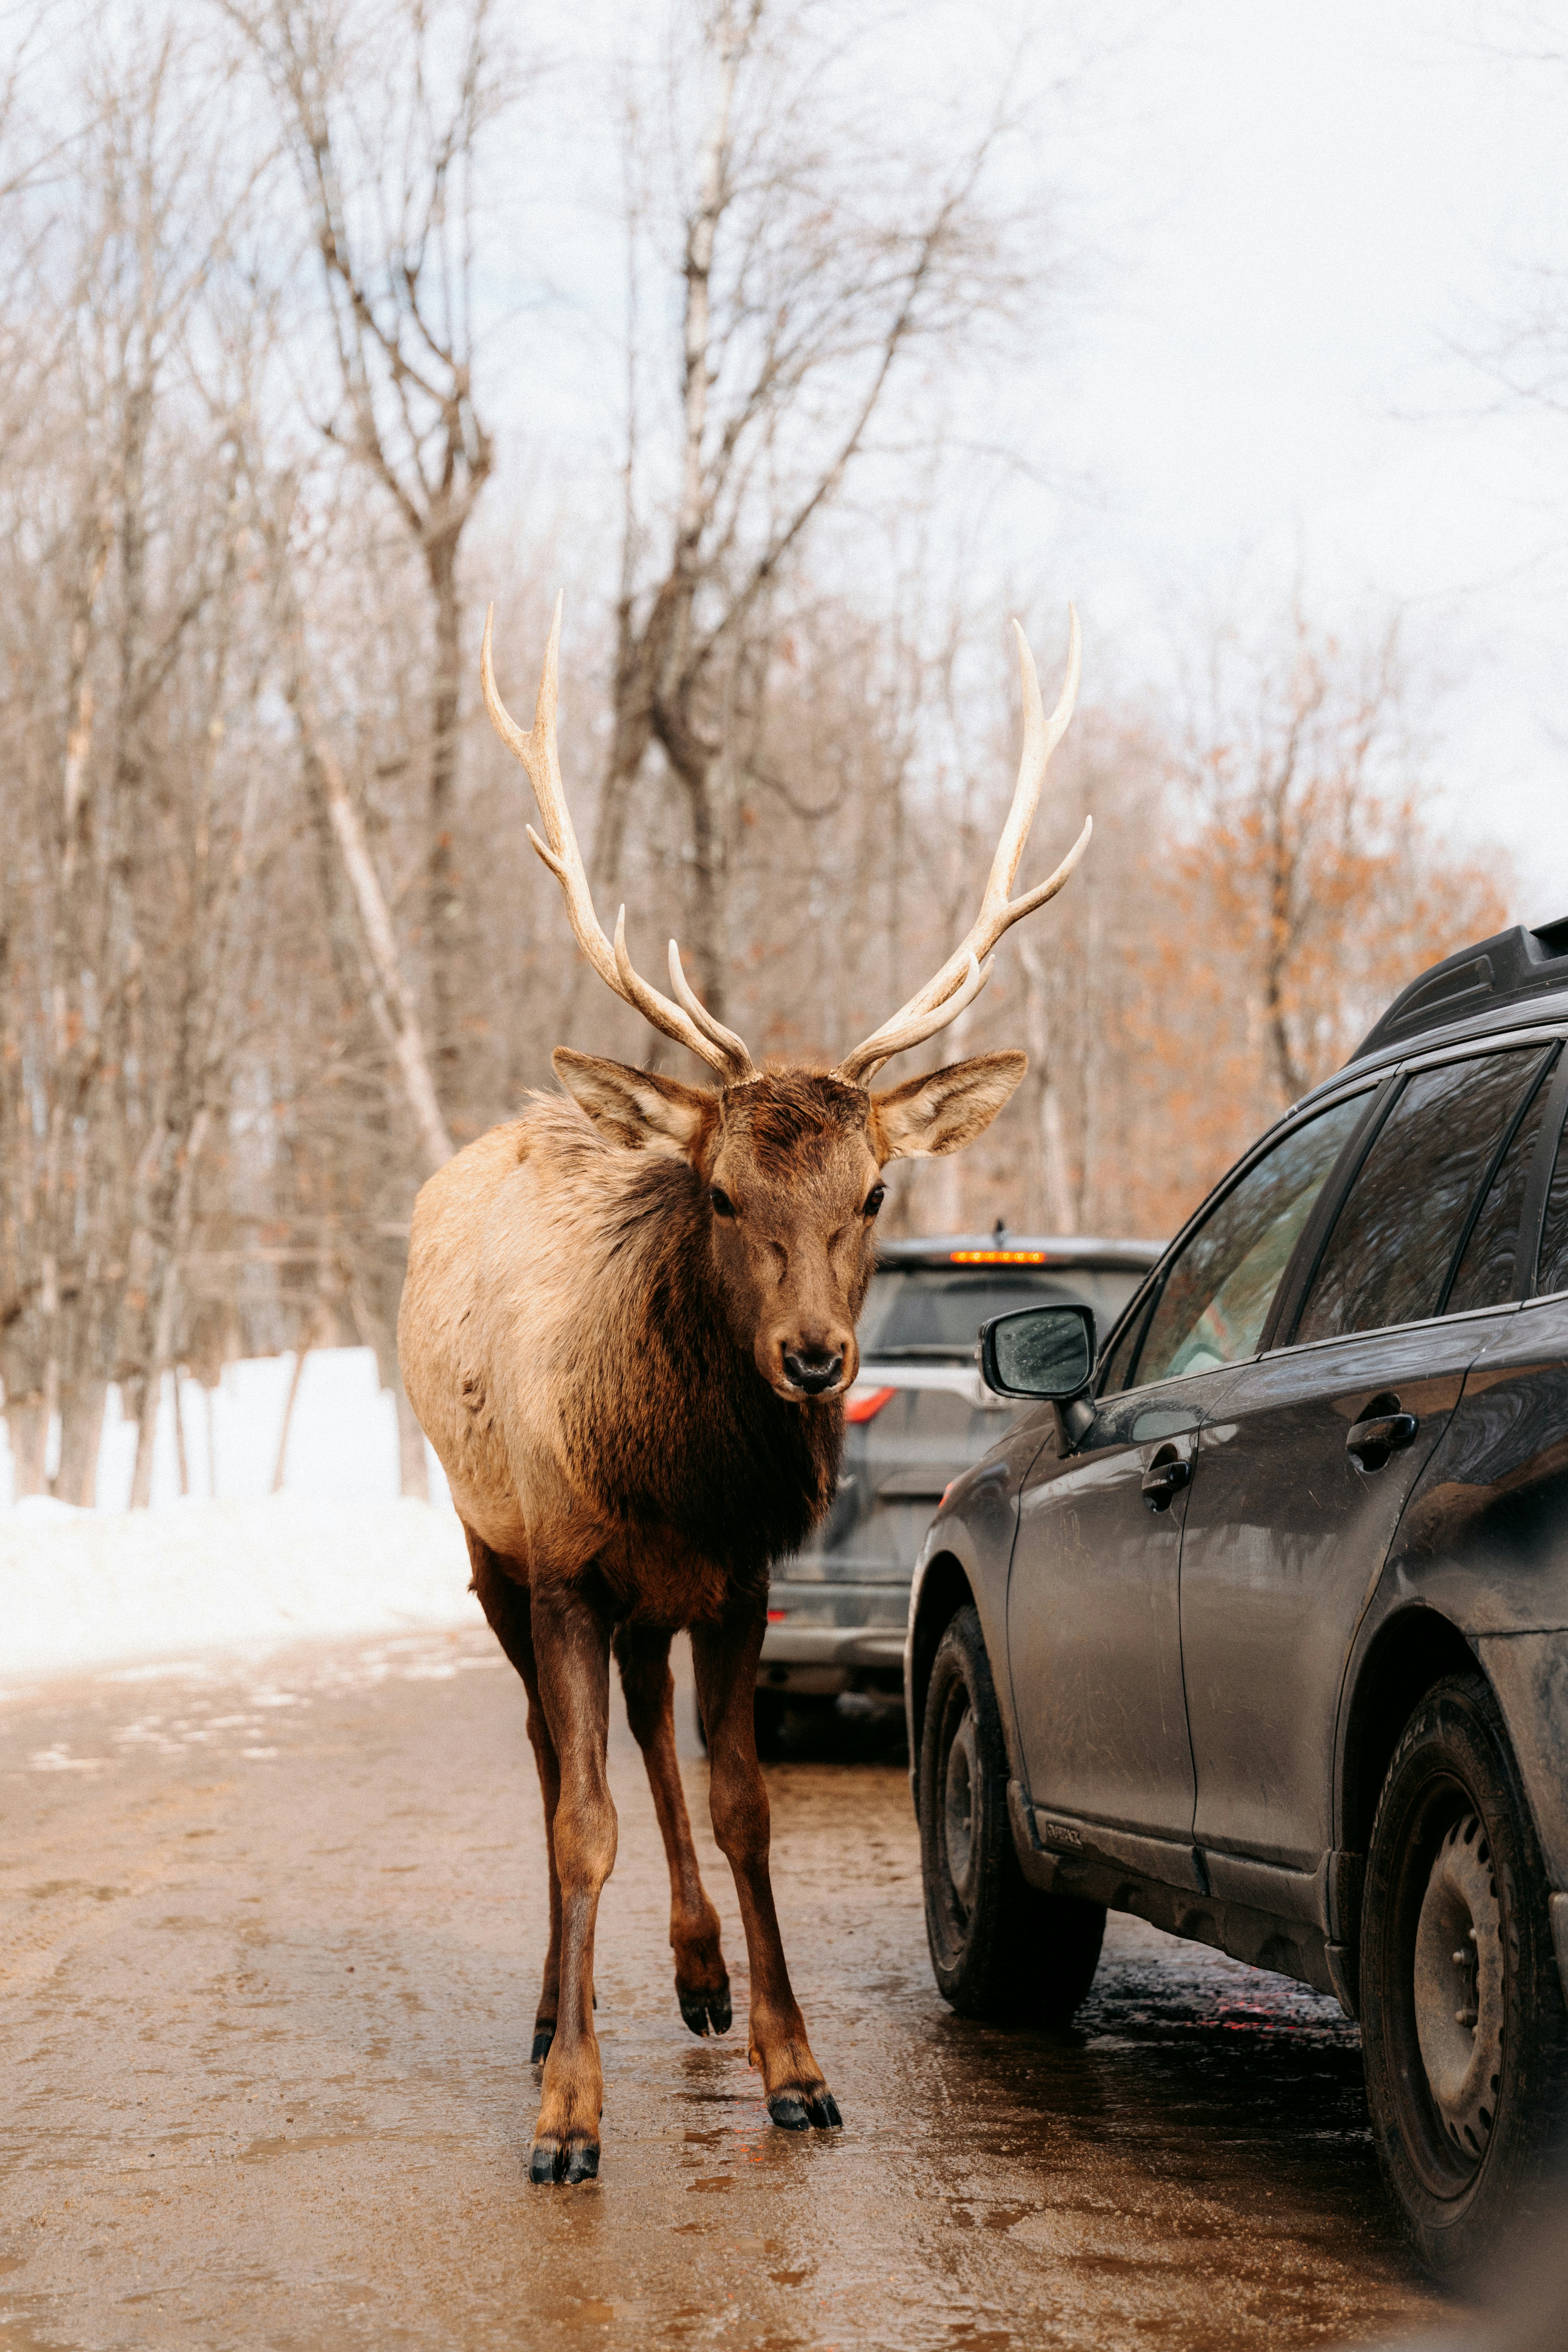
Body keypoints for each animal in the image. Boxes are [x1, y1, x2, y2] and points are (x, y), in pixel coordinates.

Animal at [396, 597, 1088, 2184]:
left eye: (873, 1187)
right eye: (719, 1188)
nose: (815, 1357)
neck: (674, 1468)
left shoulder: (738, 1574)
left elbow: (743, 1802)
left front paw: (796, 2066)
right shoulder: (565, 1565)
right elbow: (576, 1815)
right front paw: (567, 2114)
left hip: (651, 1601)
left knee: (652, 1735)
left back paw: (700, 1972)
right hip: (488, 1545)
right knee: (552, 1758)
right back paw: (555, 2008)